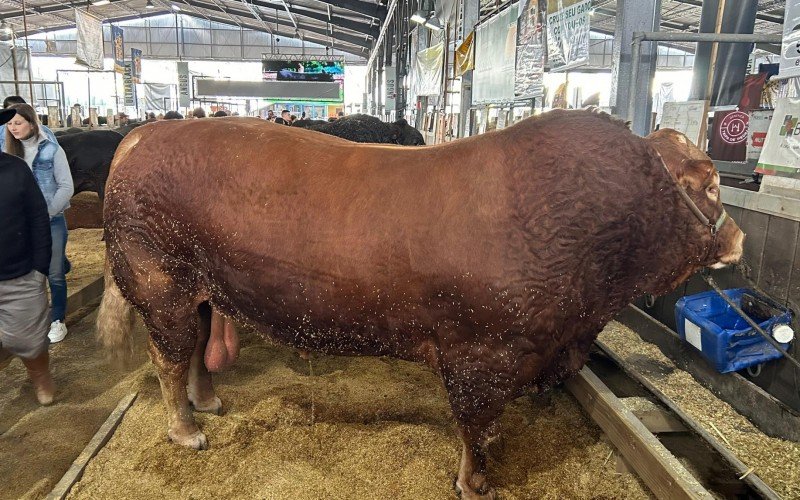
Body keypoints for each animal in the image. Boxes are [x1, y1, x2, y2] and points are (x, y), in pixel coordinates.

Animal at [95, 113, 744, 500]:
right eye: (713, 185)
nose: (738, 239)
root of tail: (141, 137)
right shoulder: (483, 356)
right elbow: (478, 428)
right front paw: (475, 484)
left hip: (199, 290)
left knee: (196, 350)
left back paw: (209, 402)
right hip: (161, 285)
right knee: (168, 360)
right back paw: (186, 430)